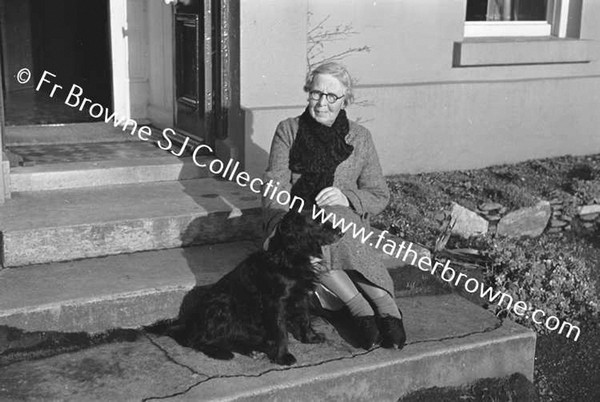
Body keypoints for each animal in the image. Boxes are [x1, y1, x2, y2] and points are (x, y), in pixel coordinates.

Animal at [176, 212, 340, 366]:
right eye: (318, 221)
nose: (340, 231)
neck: (288, 257)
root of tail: (188, 324)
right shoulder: (276, 302)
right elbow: (281, 332)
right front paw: (283, 356)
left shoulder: (303, 295)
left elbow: (305, 319)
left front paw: (311, 338)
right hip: (223, 305)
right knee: (197, 341)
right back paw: (222, 352)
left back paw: (252, 350)